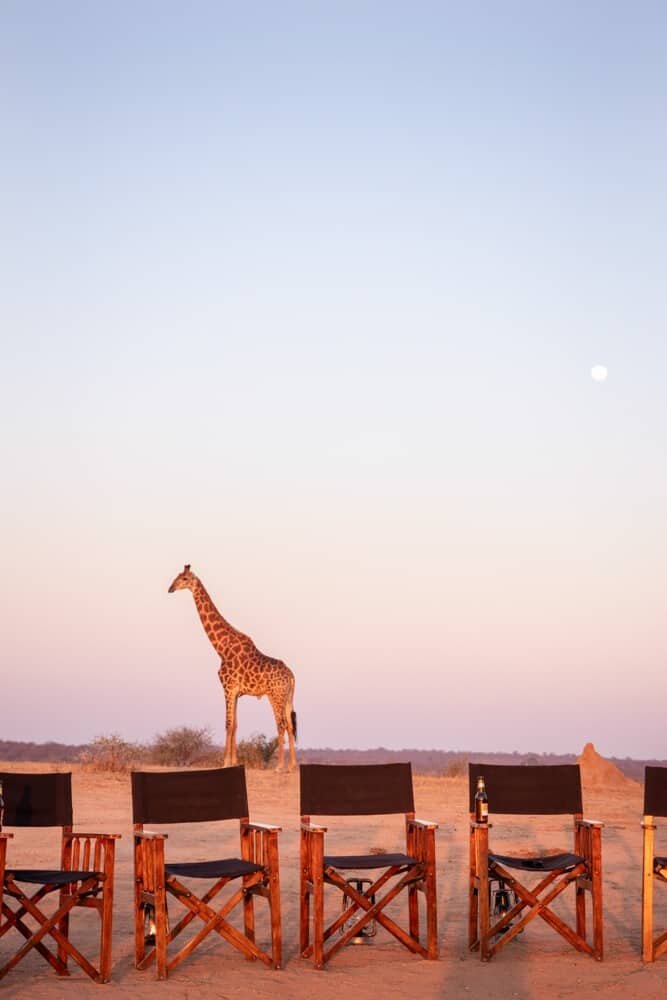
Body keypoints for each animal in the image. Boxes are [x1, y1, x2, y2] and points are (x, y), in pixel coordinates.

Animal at [170, 564, 298, 772]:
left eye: (185, 579)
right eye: (177, 577)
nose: (170, 588)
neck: (221, 647)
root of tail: (292, 676)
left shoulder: (227, 688)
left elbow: (228, 724)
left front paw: (225, 762)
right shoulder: (237, 692)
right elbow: (236, 724)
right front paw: (235, 761)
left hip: (275, 695)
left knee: (280, 724)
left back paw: (280, 766)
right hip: (287, 698)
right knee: (290, 725)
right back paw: (293, 766)